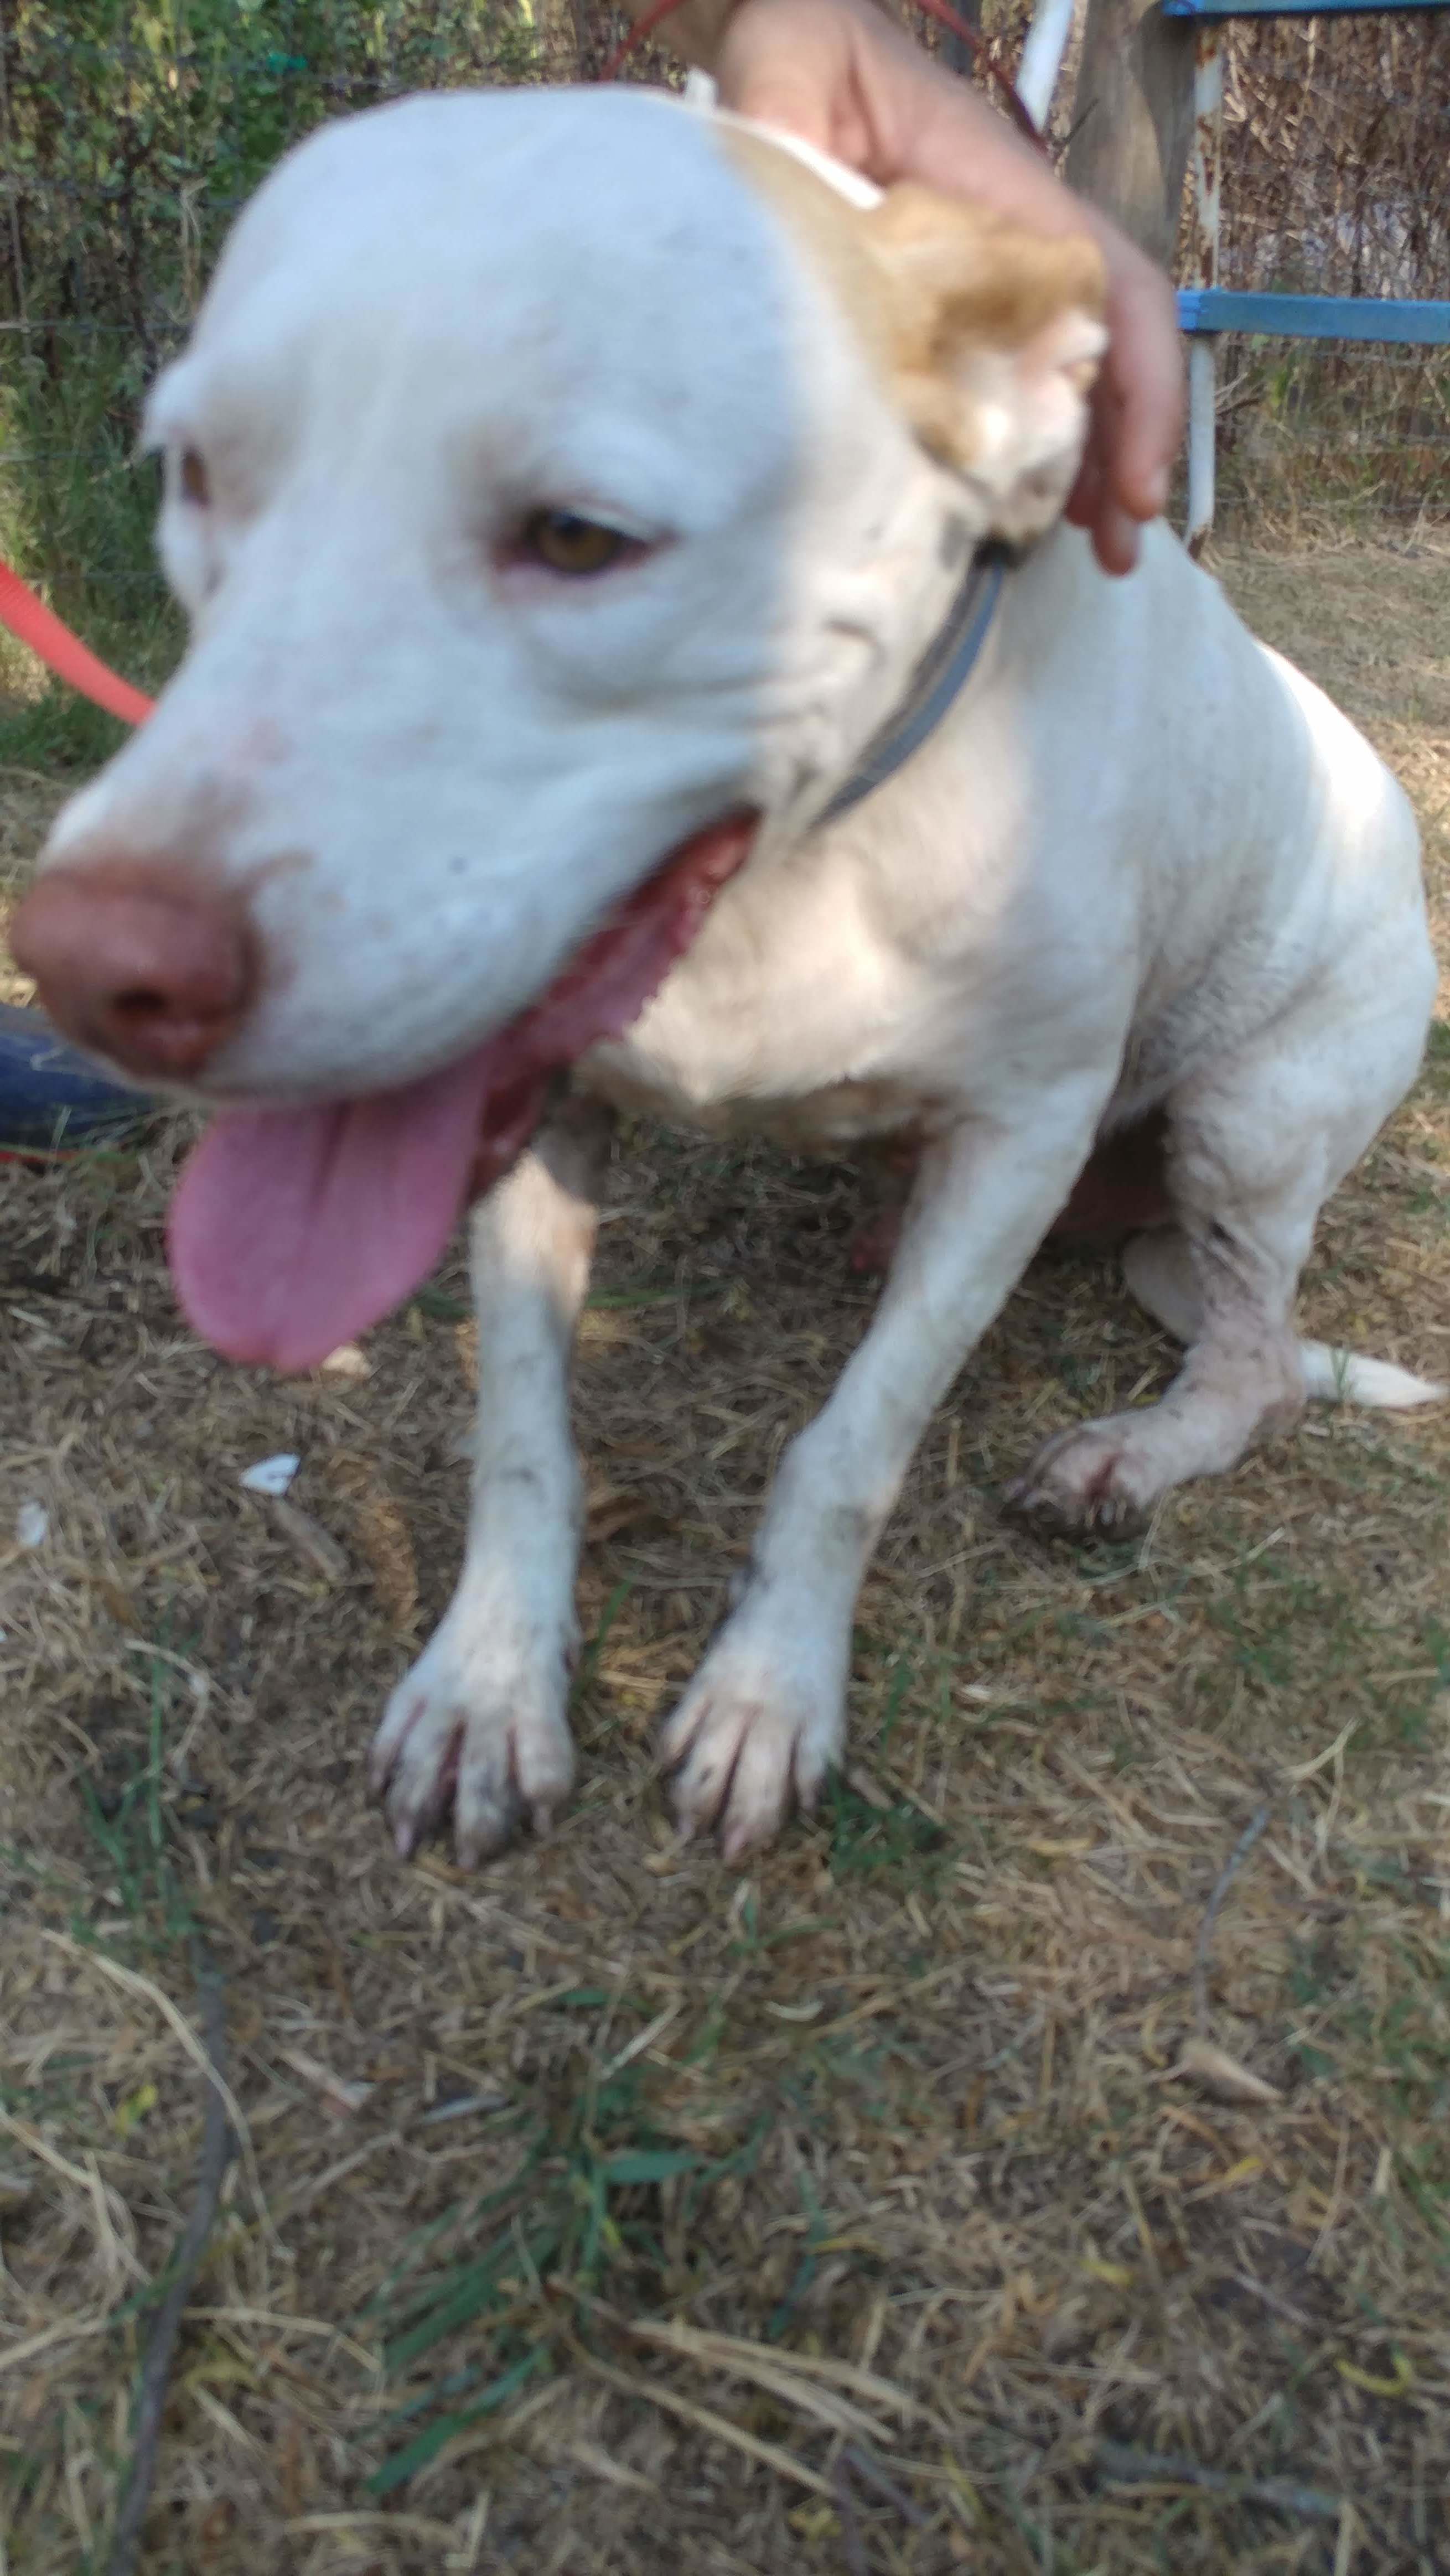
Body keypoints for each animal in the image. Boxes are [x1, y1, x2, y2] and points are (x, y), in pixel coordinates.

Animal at [14, 75, 1442, 1855]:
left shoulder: (1017, 1138)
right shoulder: (536, 1122)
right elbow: (520, 1435)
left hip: (1244, 1126)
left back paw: (1129, 1455)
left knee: (1254, 1369)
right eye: (197, 473)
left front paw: (768, 1696)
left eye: (580, 536)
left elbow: (849, 1448)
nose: (87, 967)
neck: (800, 872)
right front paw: (488, 1688)